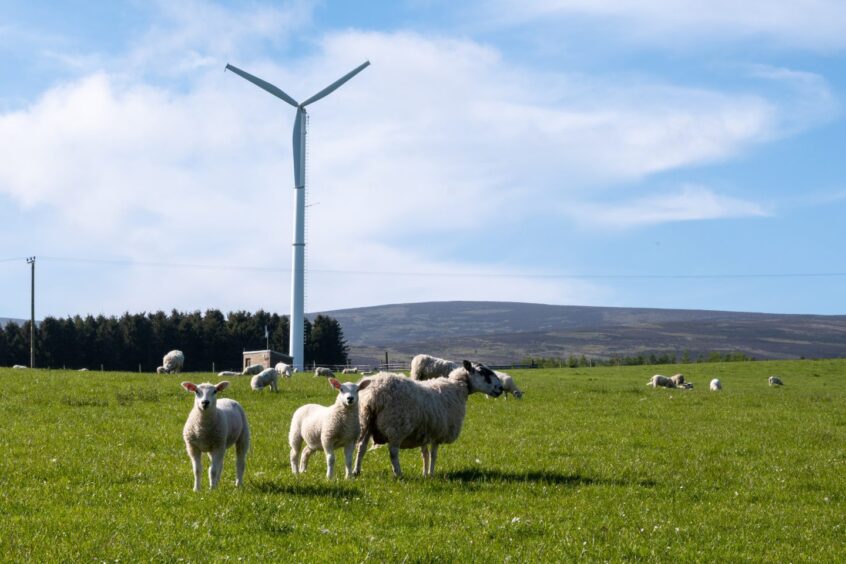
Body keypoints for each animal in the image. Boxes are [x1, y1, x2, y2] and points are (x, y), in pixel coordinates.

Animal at [352, 362, 504, 476]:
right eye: (483, 373)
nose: (500, 388)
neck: (458, 388)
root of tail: (373, 394)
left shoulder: (424, 431)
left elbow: (424, 454)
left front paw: (425, 474)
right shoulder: (438, 433)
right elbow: (433, 454)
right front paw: (431, 474)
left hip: (366, 422)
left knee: (361, 447)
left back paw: (356, 471)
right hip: (395, 425)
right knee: (393, 452)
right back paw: (398, 474)